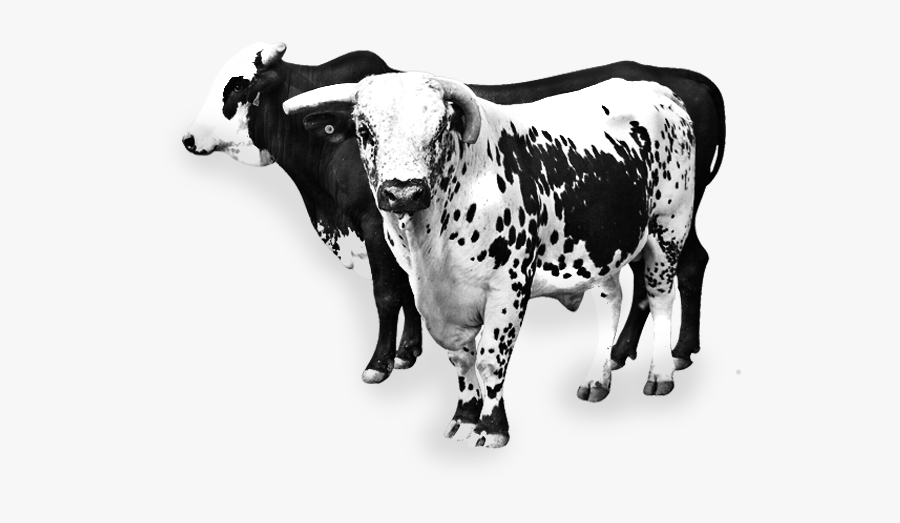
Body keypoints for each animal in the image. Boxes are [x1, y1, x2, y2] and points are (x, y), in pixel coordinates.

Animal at [183, 42, 724, 386]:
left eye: (237, 87)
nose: (190, 138)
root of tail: (687, 82)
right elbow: (407, 293)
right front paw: (407, 353)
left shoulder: (374, 226)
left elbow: (386, 295)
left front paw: (379, 362)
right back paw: (625, 353)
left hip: (673, 216)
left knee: (679, 269)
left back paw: (672, 354)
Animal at [283, 72, 697, 447]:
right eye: (364, 130)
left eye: (439, 130)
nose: (403, 192)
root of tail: (658, 90)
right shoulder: (434, 296)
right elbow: (460, 359)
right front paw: (465, 417)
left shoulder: (509, 286)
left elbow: (489, 359)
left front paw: (494, 427)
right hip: (599, 247)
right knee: (611, 300)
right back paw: (597, 379)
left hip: (668, 229)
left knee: (660, 298)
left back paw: (661, 374)